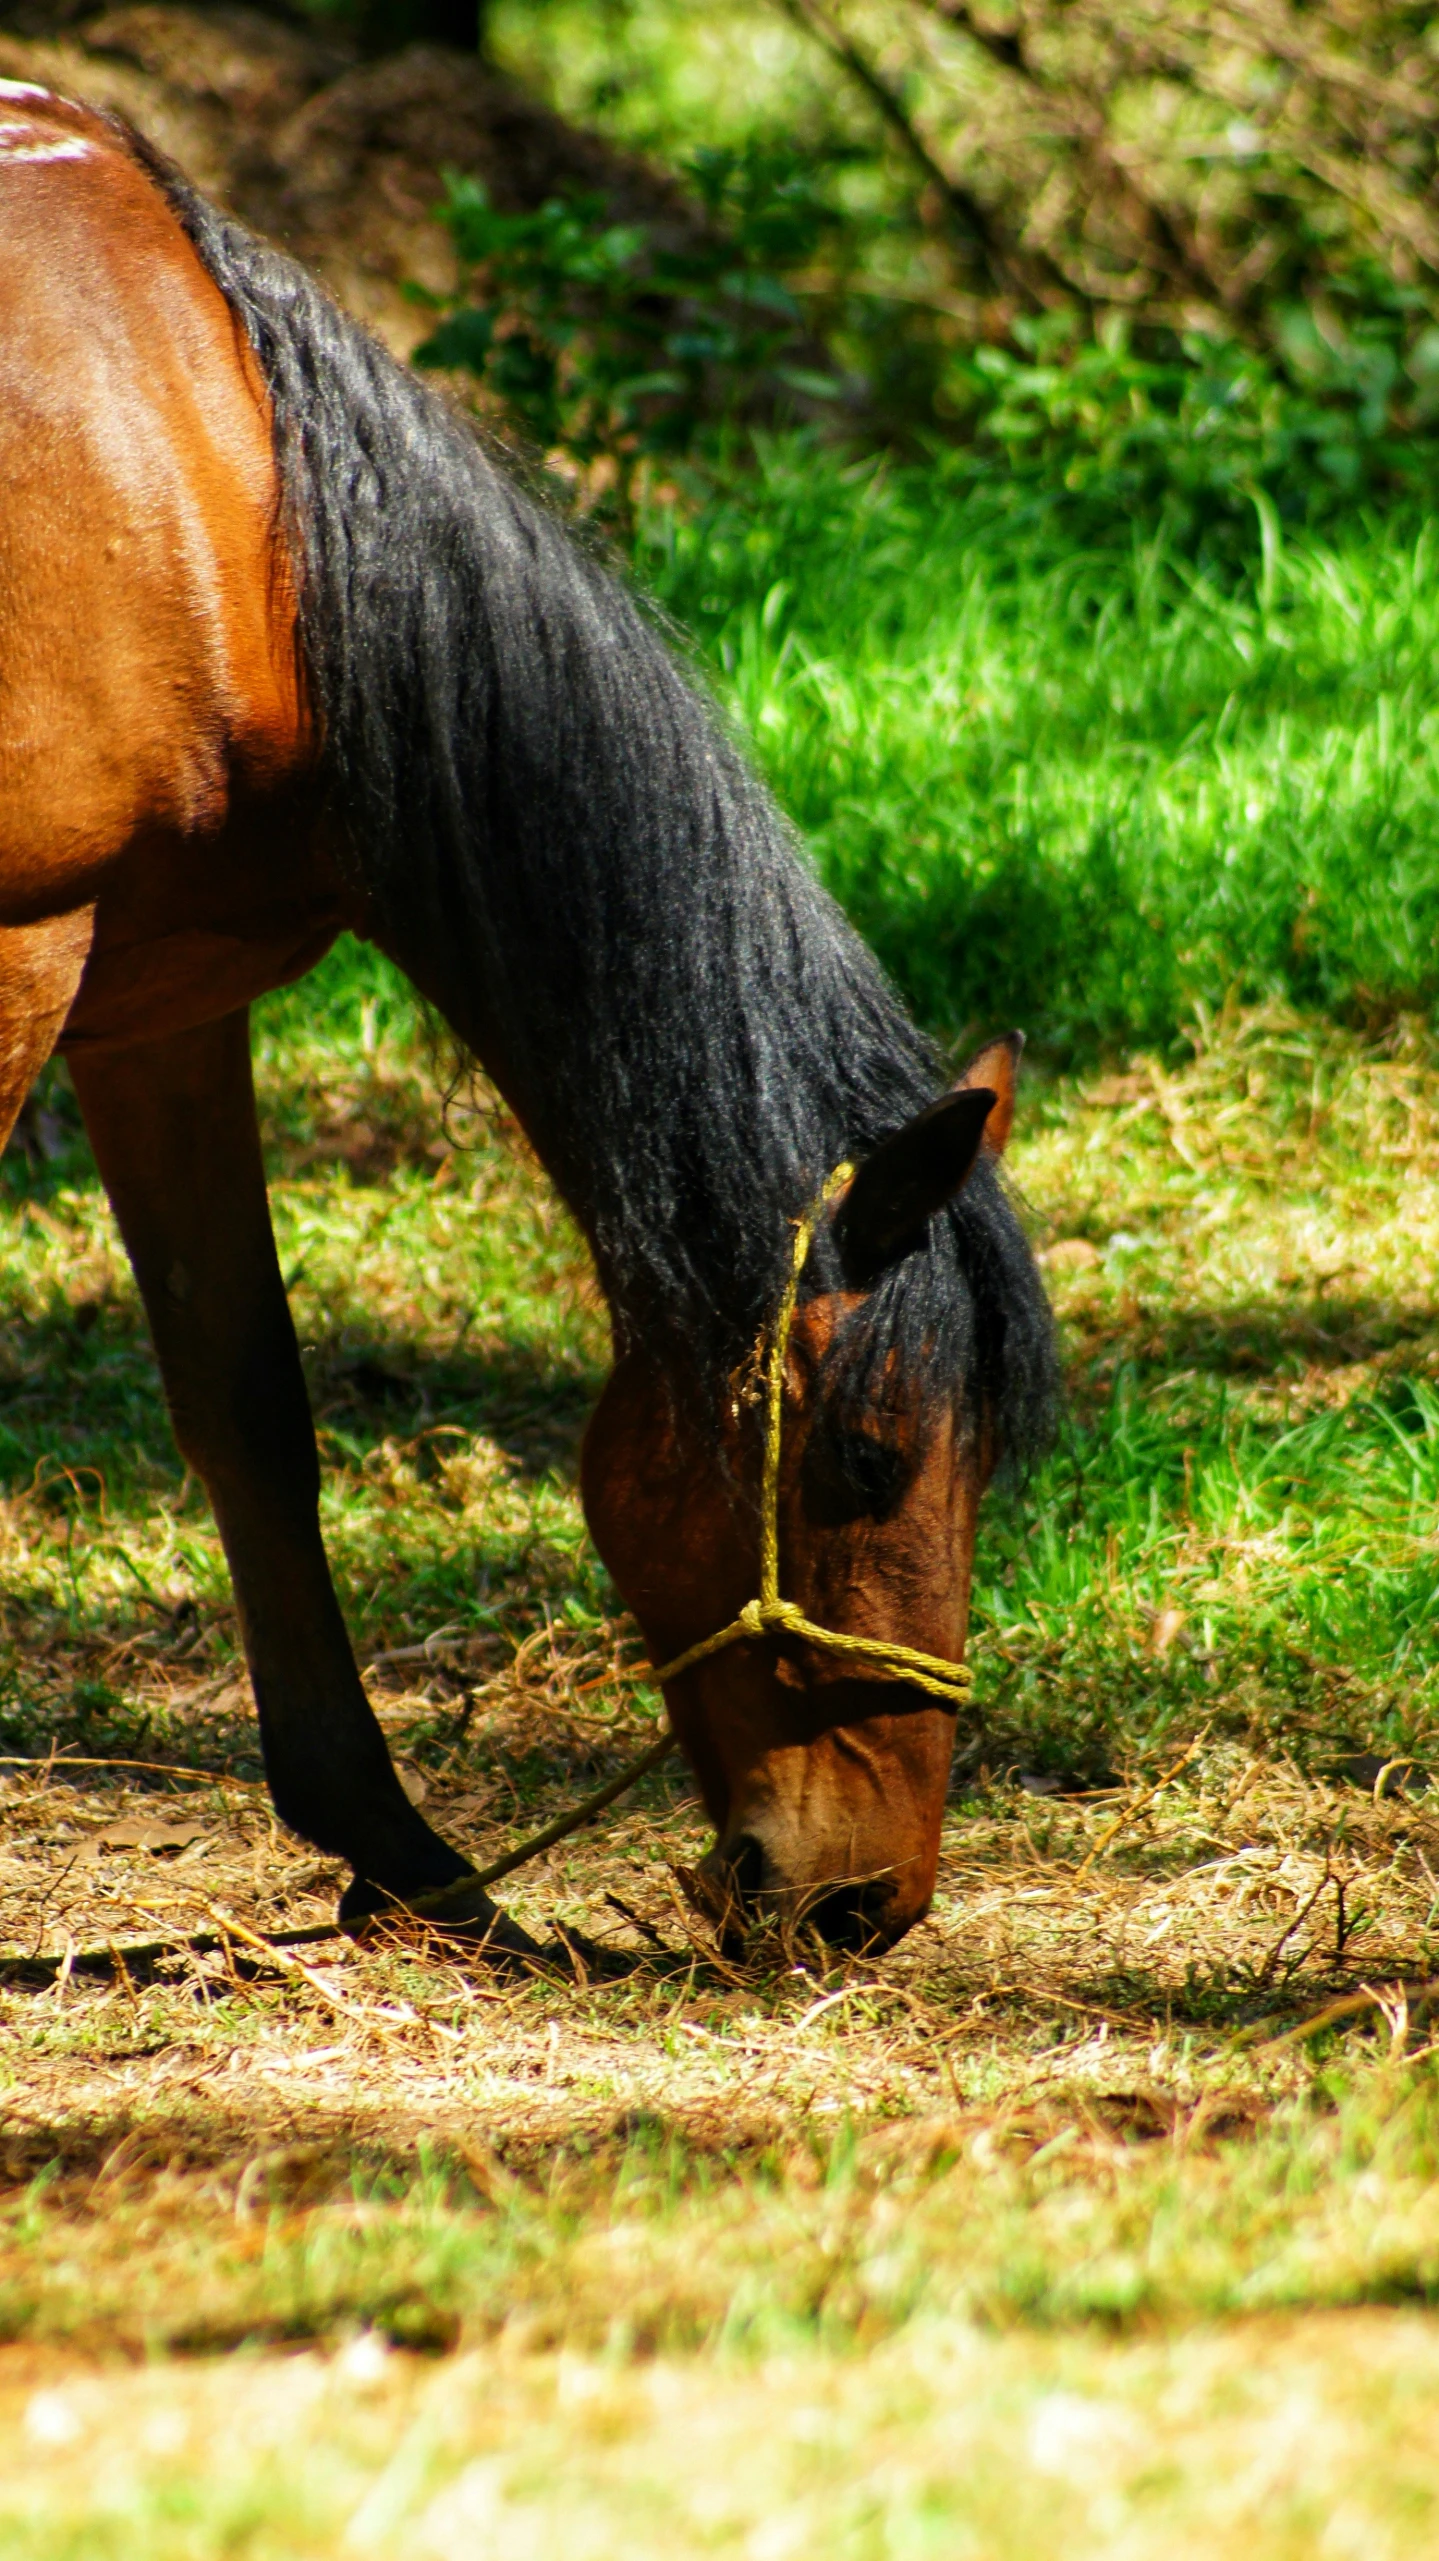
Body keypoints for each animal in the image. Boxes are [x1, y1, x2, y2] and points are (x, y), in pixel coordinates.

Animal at [0, 80, 1054, 1956]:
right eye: (865, 1460)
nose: (864, 1903)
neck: (208, 492)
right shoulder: (20, 951)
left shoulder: (153, 1010)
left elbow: (248, 1408)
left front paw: (397, 1849)